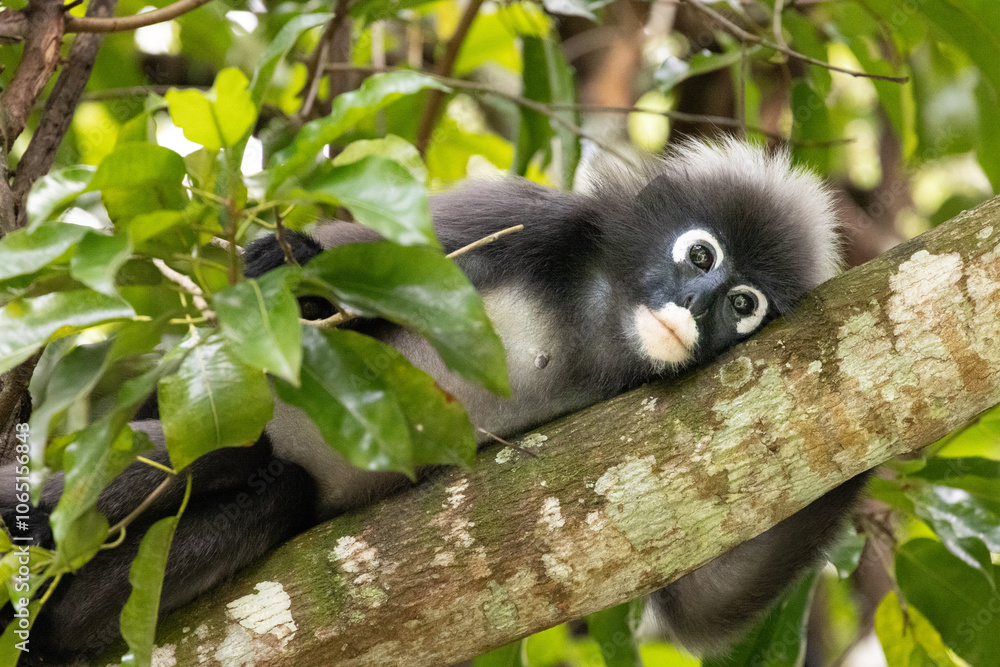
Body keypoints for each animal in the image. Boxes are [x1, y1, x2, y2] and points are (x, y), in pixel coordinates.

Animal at [0, 138, 869, 658]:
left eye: (743, 304)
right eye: (701, 256)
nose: (694, 310)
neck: (597, 312)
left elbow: (694, 606)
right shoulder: (515, 218)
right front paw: (286, 261)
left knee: (269, 490)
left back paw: (56, 623)